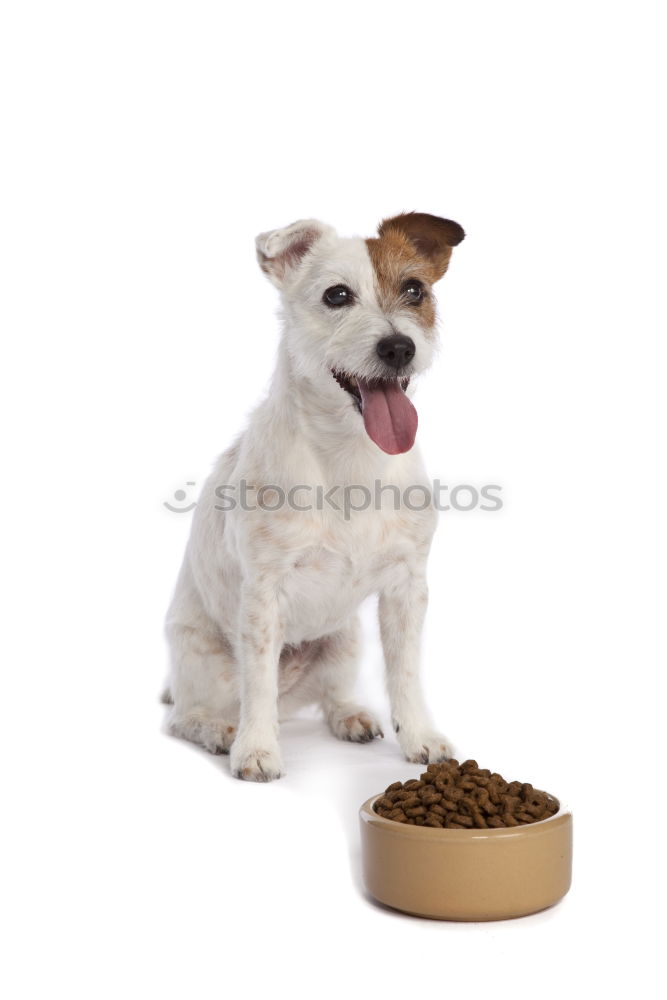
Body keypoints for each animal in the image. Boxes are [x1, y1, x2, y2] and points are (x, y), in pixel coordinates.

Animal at [164, 211, 464, 780]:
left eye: (415, 289)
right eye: (337, 295)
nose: (399, 347)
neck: (351, 457)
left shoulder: (406, 589)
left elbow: (405, 671)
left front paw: (419, 737)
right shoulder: (262, 594)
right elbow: (257, 680)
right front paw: (257, 749)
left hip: (343, 641)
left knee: (329, 695)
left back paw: (349, 716)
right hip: (202, 660)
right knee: (190, 715)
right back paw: (219, 730)